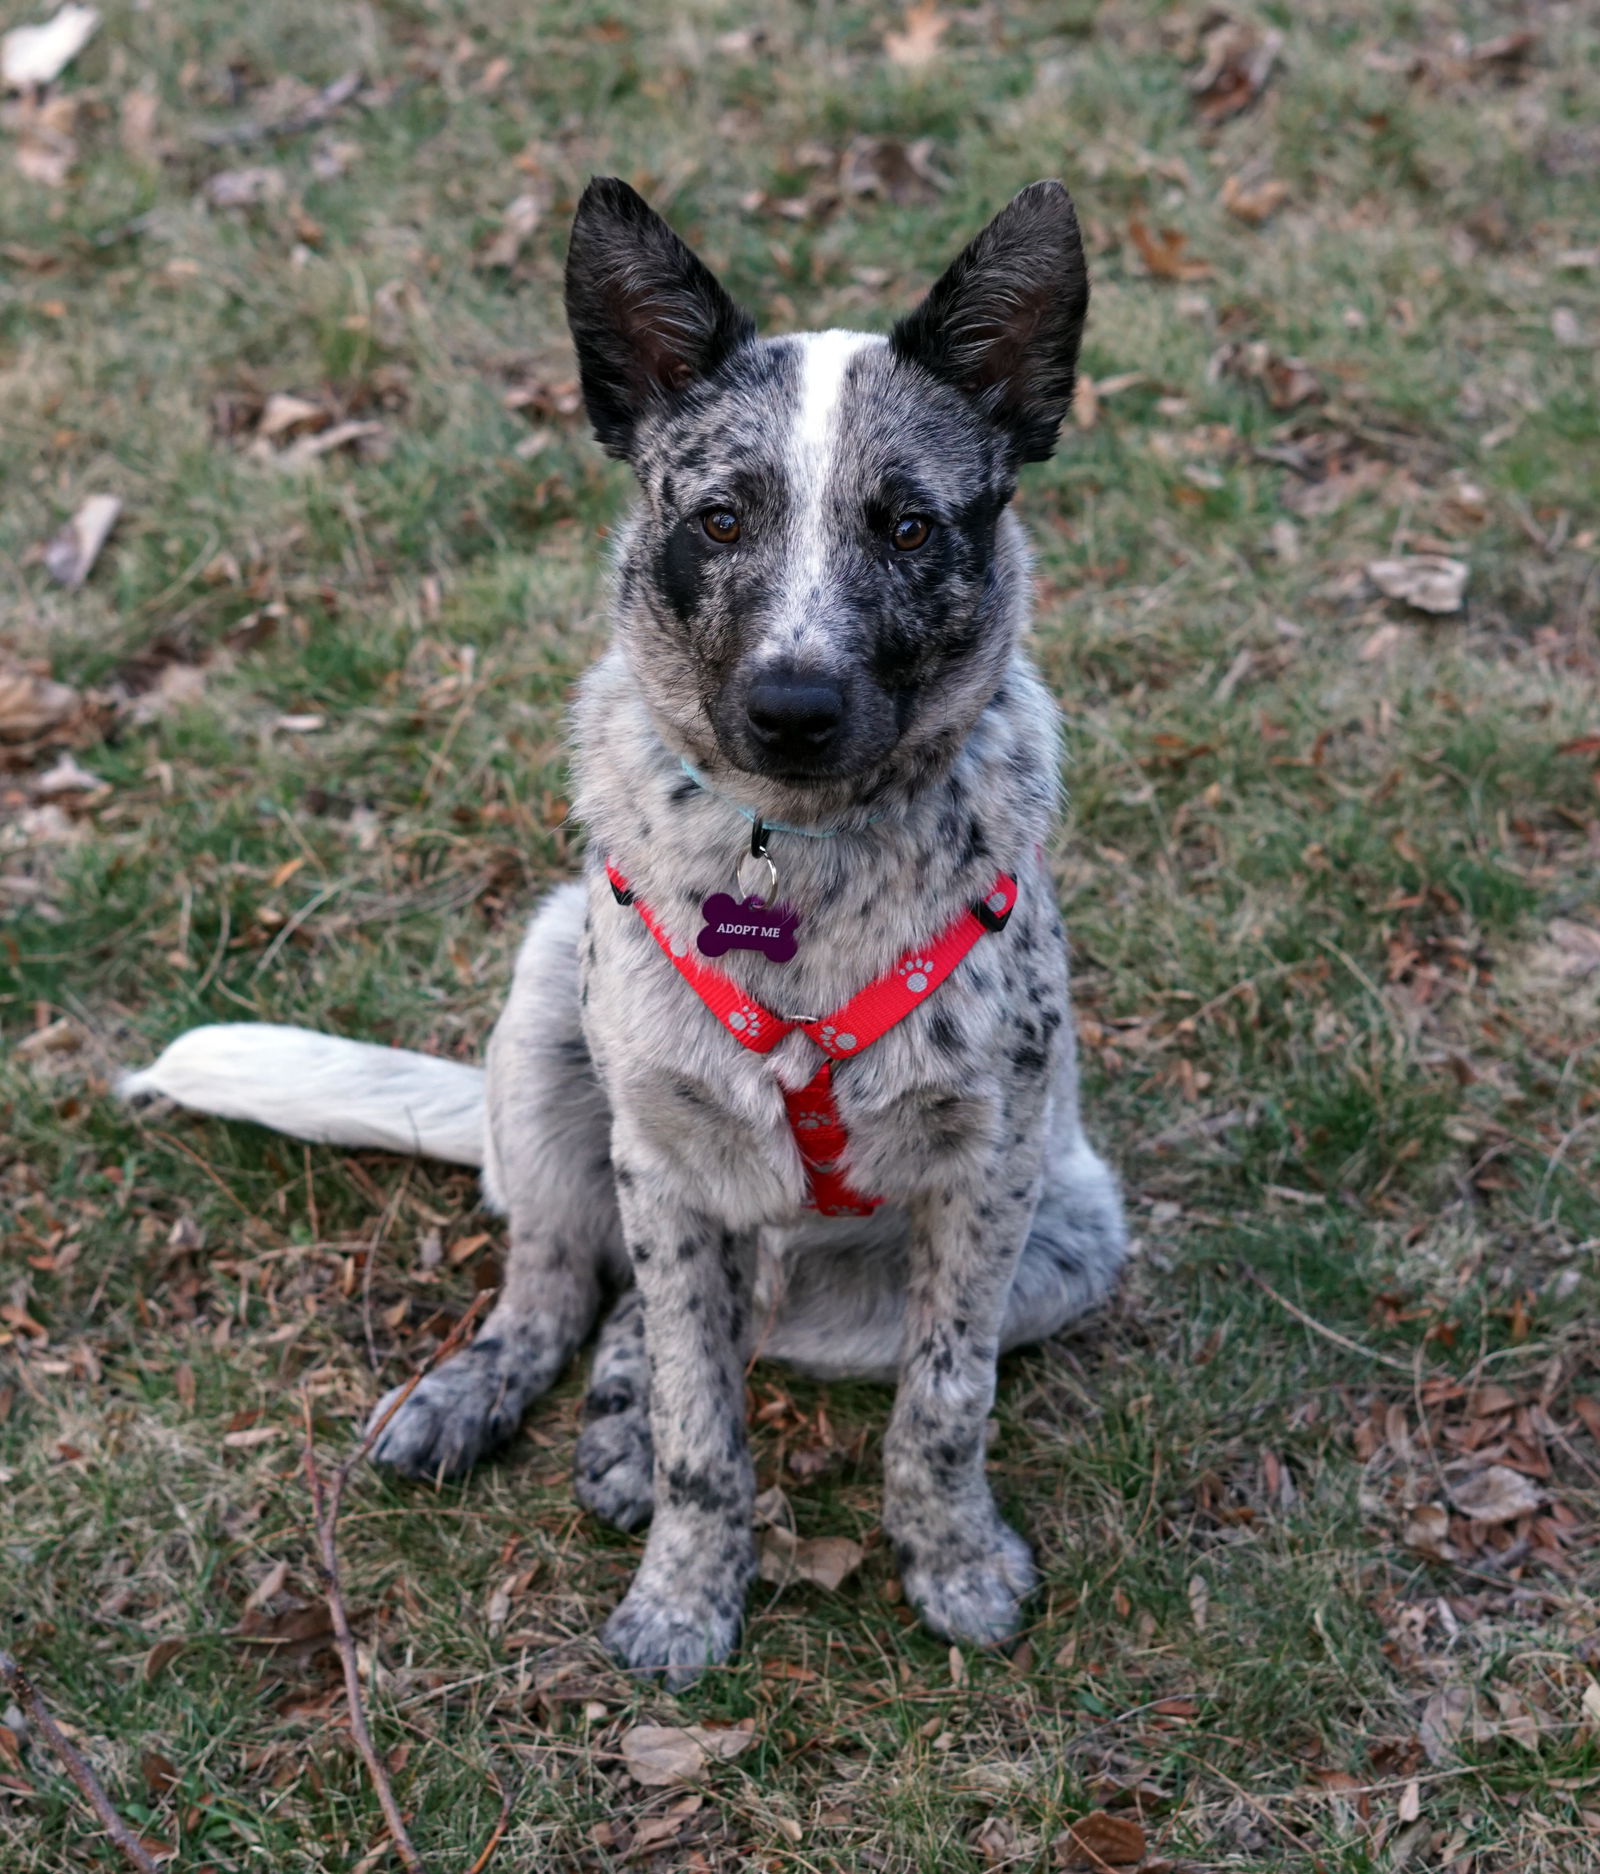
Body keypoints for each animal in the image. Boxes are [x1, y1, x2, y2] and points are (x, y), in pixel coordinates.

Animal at [125, 176, 1124, 1694]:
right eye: (718, 519)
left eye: (907, 527)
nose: (791, 708)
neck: (797, 861)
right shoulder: (657, 1148)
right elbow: (704, 1430)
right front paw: (683, 1597)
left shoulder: (990, 1174)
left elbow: (942, 1404)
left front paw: (953, 1562)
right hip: (551, 1017)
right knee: (557, 1280)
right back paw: (494, 1394)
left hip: (1052, 1252)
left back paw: (613, 1424)